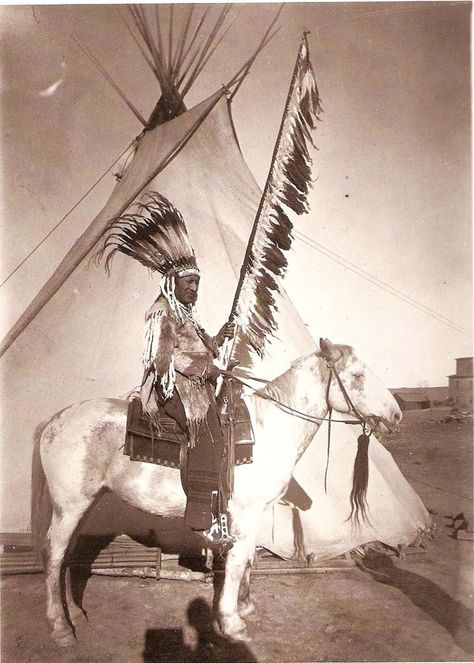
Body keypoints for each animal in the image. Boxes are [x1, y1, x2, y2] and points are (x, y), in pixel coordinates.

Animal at [31, 340, 400, 644]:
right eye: (357, 375)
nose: (395, 415)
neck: (267, 431)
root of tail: (55, 420)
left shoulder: (253, 515)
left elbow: (248, 558)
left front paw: (245, 605)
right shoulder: (246, 514)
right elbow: (237, 563)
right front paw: (232, 622)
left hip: (82, 507)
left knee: (67, 555)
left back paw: (74, 614)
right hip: (70, 506)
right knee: (55, 555)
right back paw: (60, 627)